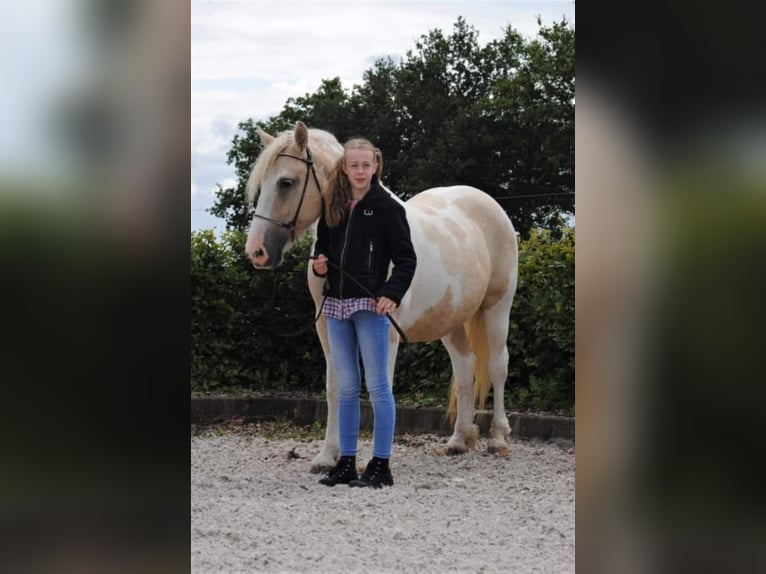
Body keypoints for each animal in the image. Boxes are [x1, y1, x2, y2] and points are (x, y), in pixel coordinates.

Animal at [245, 121, 518, 471]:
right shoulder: (328, 327)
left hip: (498, 306)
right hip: (452, 318)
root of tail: (489, 205)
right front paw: (328, 456)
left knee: (498, 365)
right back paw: (460, 439)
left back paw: (498, 438)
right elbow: (336, 387)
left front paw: (374, 461)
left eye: (286, 182)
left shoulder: (386, 330)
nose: (257, 252)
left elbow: (379, 388)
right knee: (465, 367)